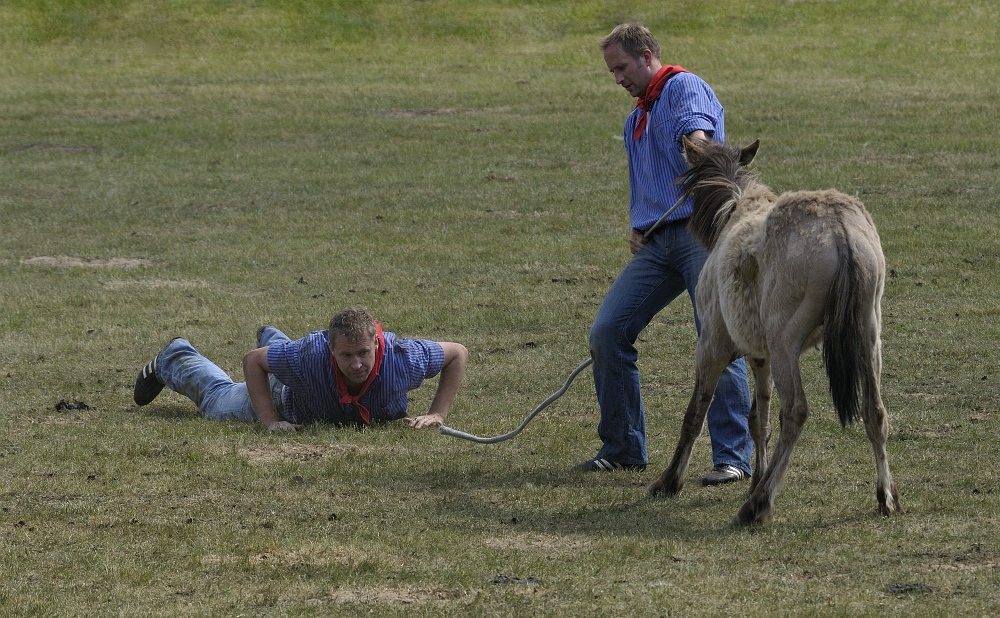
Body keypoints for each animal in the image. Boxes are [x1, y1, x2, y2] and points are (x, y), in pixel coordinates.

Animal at [648, 137, 908, 524]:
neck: (735, 211)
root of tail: (840, 230)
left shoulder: (712, 344)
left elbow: (696, 412)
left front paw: (669, 481)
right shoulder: (761, 357)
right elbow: (759, 420)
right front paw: (757, 477)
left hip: (786, 343)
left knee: (796, 411)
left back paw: (757, 506)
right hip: (867, 334)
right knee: (874, 410)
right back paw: (885, 497)